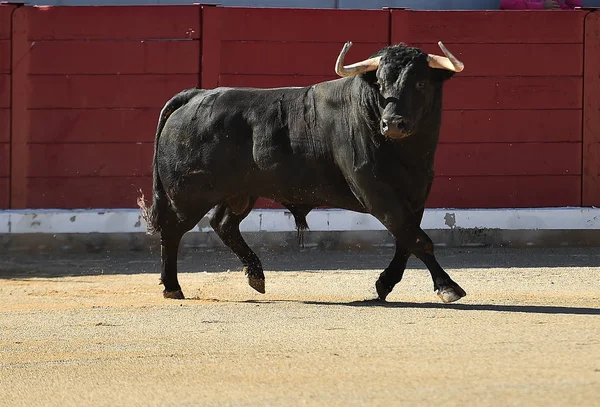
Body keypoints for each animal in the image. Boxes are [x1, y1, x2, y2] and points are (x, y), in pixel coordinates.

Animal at [139, 42, 468, 302]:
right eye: (381, 83)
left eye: (421, 83)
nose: (393, 124)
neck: (406, 153)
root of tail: (195, 95)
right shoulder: (375, 190)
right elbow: (415, 238)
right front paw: (448, 286)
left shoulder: (416, 194)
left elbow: (406, 239)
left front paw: (385, 284)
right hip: (189, 195)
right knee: (172, 230)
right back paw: (172, 287)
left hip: (241, 192)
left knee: (222, 224)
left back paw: (256, 276)